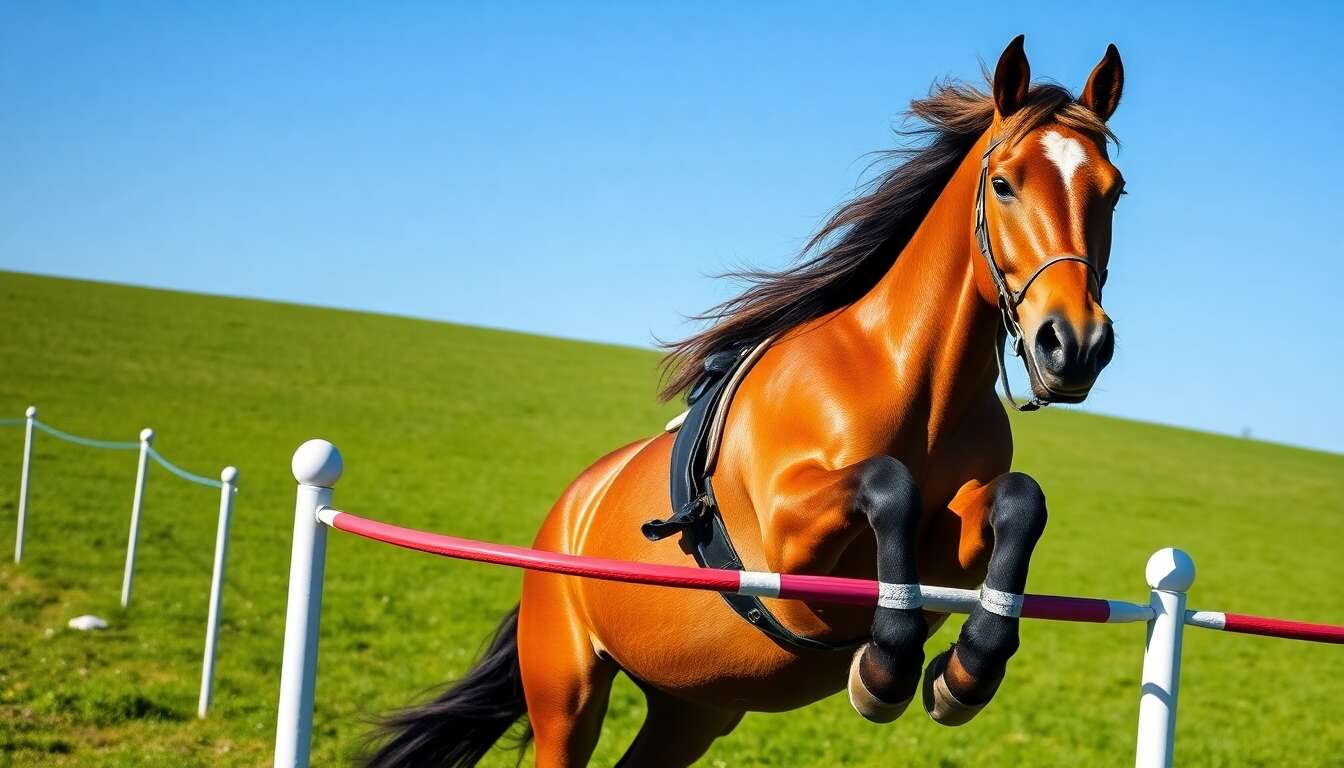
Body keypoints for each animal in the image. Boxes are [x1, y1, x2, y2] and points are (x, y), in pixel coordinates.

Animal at [366, 35, 1126, 767]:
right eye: (1003, 184)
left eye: (1114, 191)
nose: (1074, 344)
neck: (913, 383)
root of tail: (566, 511)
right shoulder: (791, 541)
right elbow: (890, 485)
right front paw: (884, 670)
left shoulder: (949, 551)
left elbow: (1019, 501)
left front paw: (966, 672)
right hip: (567, 697)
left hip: (692, 710)